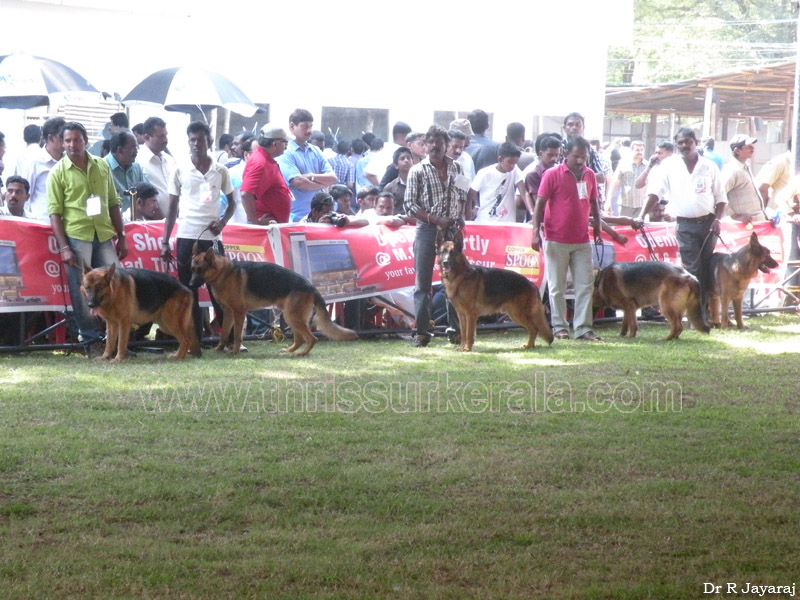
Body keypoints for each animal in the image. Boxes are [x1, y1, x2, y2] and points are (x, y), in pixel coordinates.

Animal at [189, 247, 358, 356]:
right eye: (192, 269)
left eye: (201, 270)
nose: (190, 284)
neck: (224, 273)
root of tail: (311, 286)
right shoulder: (228, 313)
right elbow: (224, 334)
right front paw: (219, 349)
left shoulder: (238, 313)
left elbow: (237, 335)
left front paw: (235, 351)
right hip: (291, 317)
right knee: (300, 339)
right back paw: (289, 351)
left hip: (292, 317)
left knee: (311, 338)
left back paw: (302, 354)